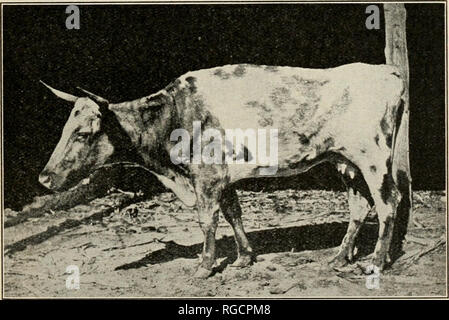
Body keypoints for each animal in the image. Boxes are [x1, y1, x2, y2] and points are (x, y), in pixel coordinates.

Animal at [40, 62, 408, 278]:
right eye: (64, 128)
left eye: (83, 133)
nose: (44, 177)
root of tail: (388, 72)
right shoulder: (224, 176)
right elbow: (233, 212)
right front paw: (245, 257)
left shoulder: (206, 176)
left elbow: (208, 220)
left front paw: (204, 266)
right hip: (346, 161)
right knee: (360, 206)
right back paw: (340, 257)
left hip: (373, 158)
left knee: (388, 202)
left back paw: (376, 262)